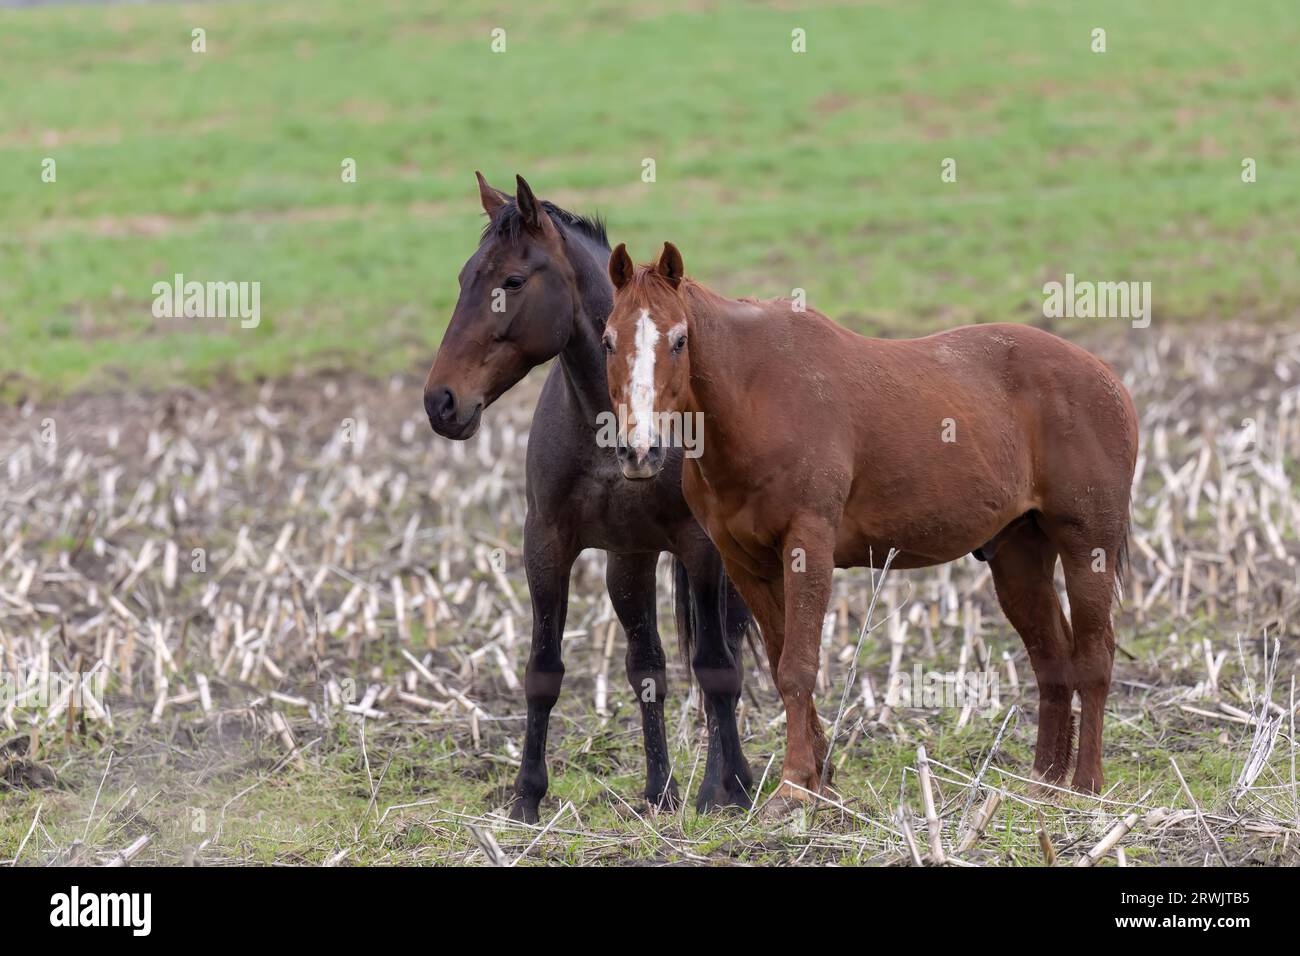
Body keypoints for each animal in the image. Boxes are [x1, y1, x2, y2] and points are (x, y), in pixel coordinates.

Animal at [422, 176, 755, 822]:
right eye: (464, 277)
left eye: (512, 282)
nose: (441, 401)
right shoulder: (549, 544)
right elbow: (546, 671)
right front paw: (527, 796)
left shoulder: (698, 547)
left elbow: (715, 668)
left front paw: (723, 793)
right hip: (630, 562)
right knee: (648, 665)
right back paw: (661, 790)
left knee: (722, 656)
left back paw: (725, 783)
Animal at [601, 241, 1139, 811]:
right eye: (608, 340)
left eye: (679, 339)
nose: (638, 450)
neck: (758, 395)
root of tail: (1107, 379)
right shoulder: (745, 563)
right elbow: (781, 659)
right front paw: (820, 777)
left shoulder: (808, 546)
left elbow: (797, 666)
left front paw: (795, 787)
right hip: (1019, 556)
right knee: (1052, 659)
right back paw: (1046, 783)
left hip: (1089, 549)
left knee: (1094, 658)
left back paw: (1086, 785)